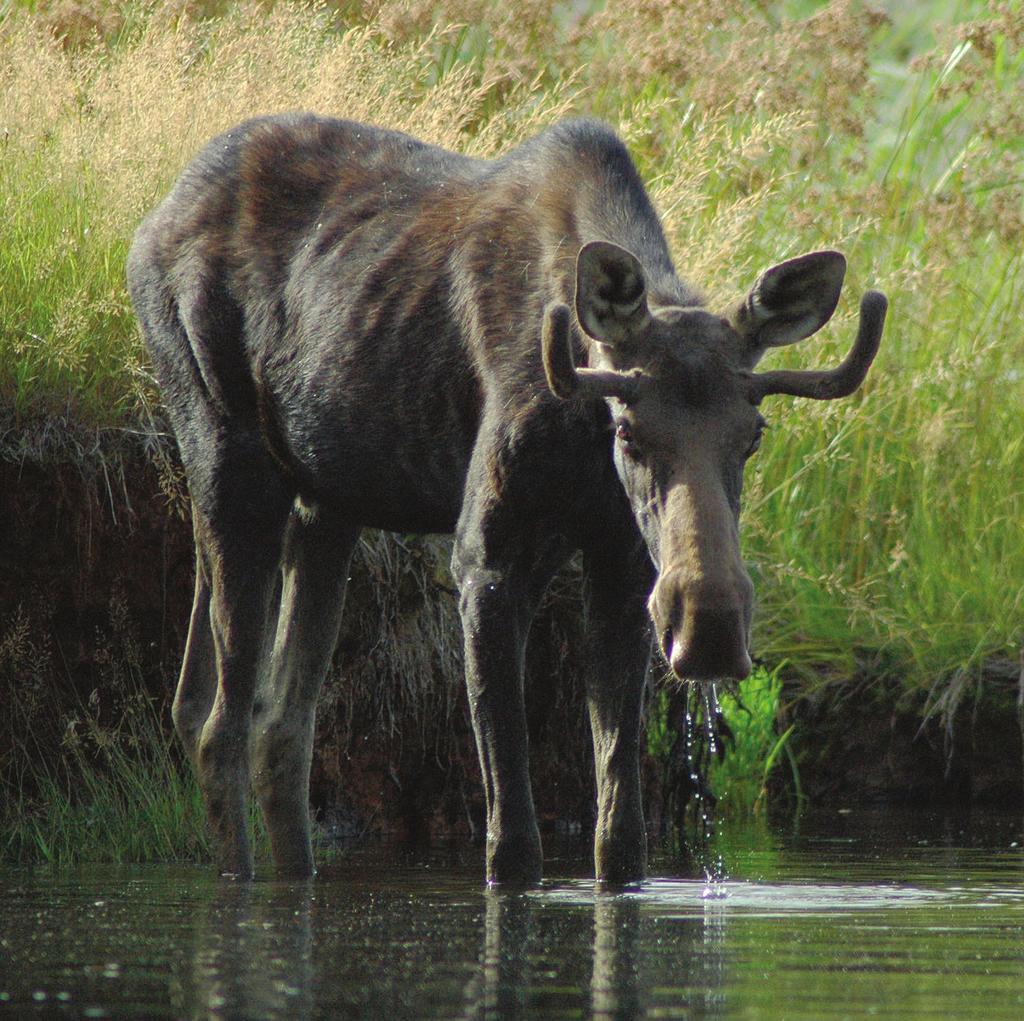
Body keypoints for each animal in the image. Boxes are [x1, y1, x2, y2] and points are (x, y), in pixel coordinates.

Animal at [125, 115, 880, 884]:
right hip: (225, 450)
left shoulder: (620, 563)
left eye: (754, 433)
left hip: (326, 501)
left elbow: (621, 837)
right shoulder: (486, 558)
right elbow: (511, 840)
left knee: (271, 722)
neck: (583, 433)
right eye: (628, 429)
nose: (711, 627)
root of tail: (155, 218)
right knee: (219, 722)